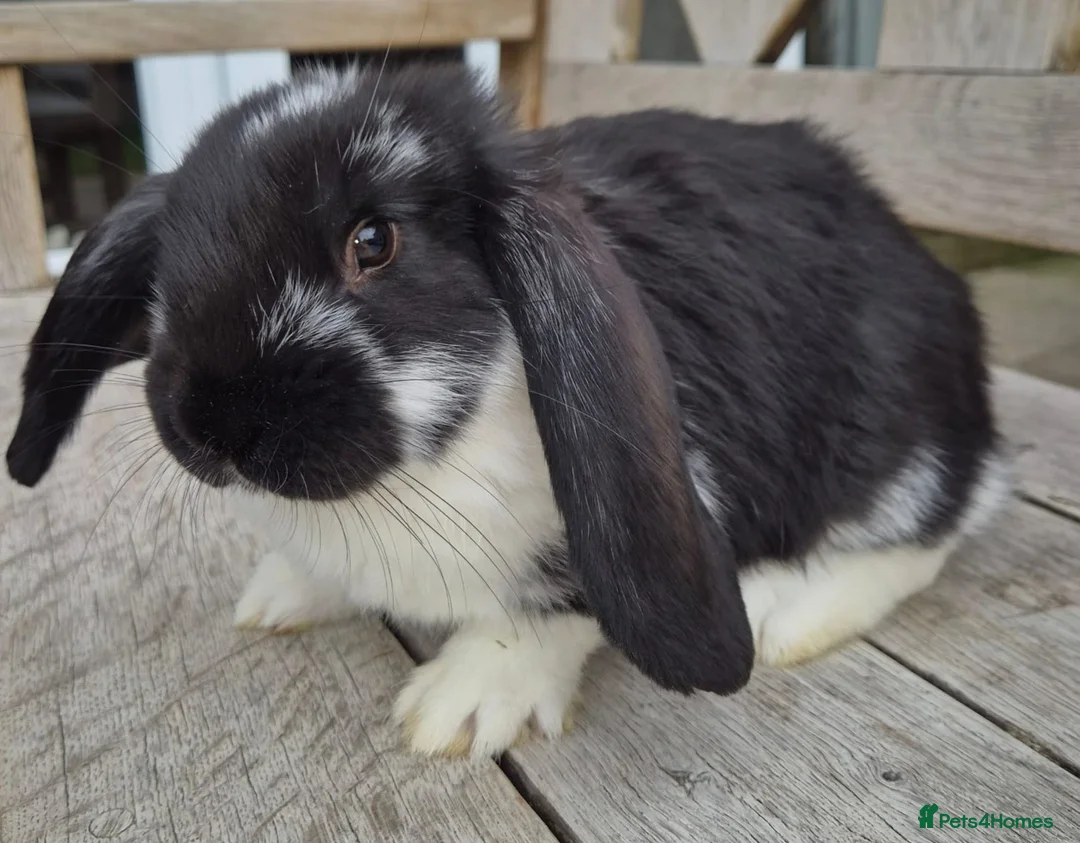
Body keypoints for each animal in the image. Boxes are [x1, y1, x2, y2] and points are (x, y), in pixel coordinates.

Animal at [6, 61, 1010, 759]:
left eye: (374, 241)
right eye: (171, 260)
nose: (215, 425)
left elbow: (559, 600)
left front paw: (463, 703)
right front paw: (284, 592)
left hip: (889, 437)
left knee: (942, 523)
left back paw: (786, 617)